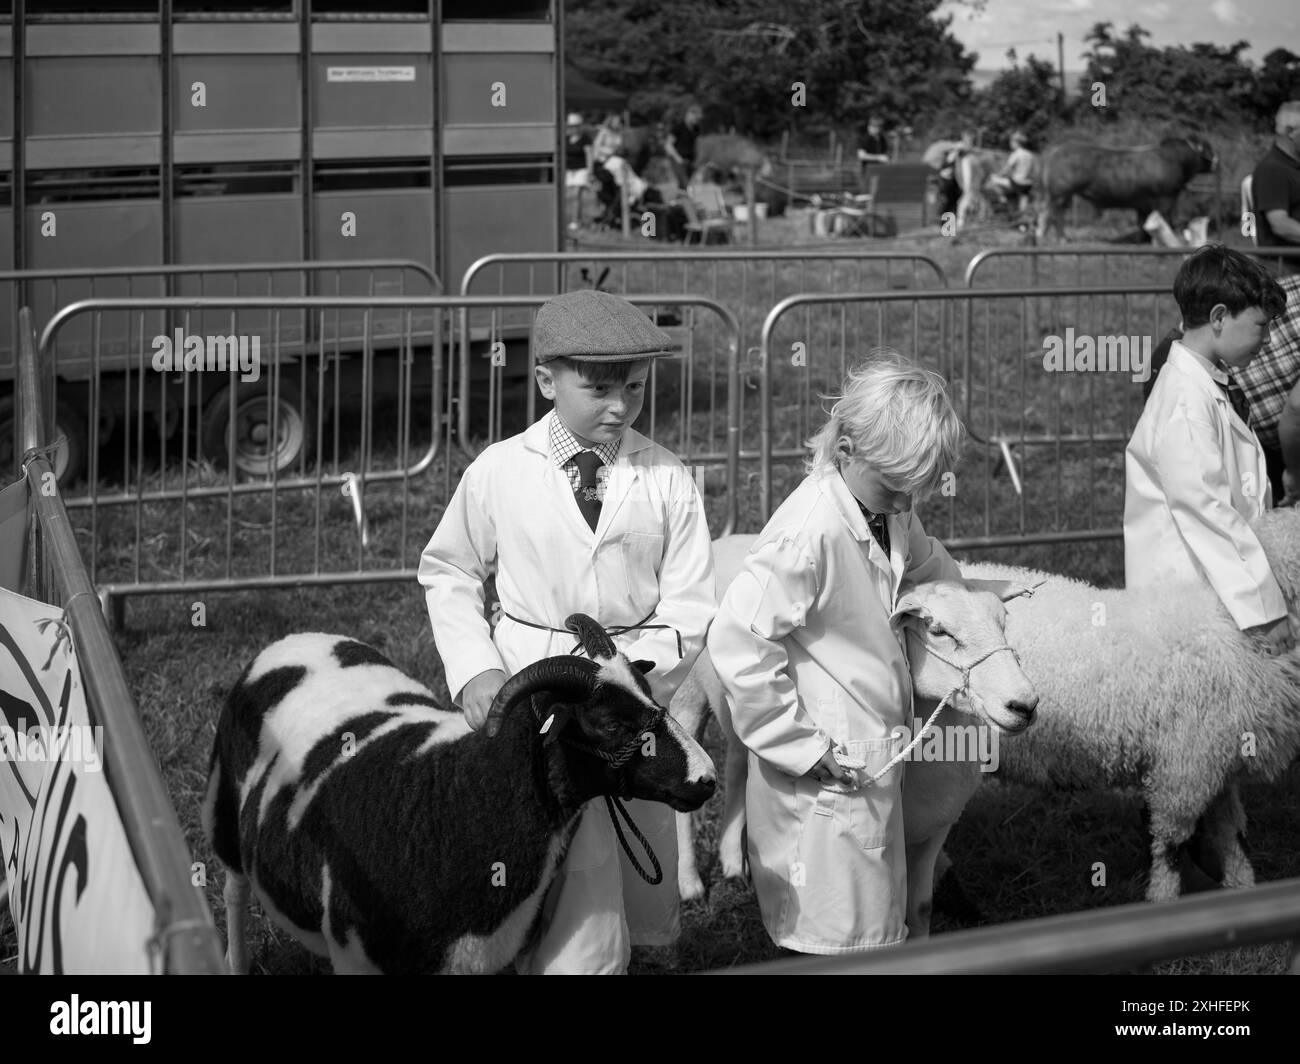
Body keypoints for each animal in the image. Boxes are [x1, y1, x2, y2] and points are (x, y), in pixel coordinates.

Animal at [200, 613, 722, 967]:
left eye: (651, 696)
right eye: (612, 724)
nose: (707, 778)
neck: (455, 800)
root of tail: (299, 638)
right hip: (223, 814)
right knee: (233, 891)